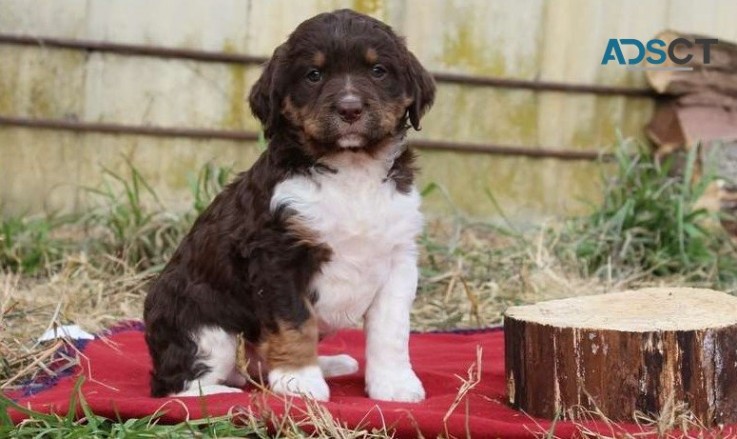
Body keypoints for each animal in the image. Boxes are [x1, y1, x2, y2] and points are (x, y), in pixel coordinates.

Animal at [142, 8, 434, 404]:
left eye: (378, 70)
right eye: (314, 75)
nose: (350, 109)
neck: (351, 170)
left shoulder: (398, 257)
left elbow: (391, 330)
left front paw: (394, 384)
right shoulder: (277, 257)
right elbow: (295, 323)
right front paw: (301, 381)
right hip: (201, 323)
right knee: (178, 384)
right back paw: (221, 394)